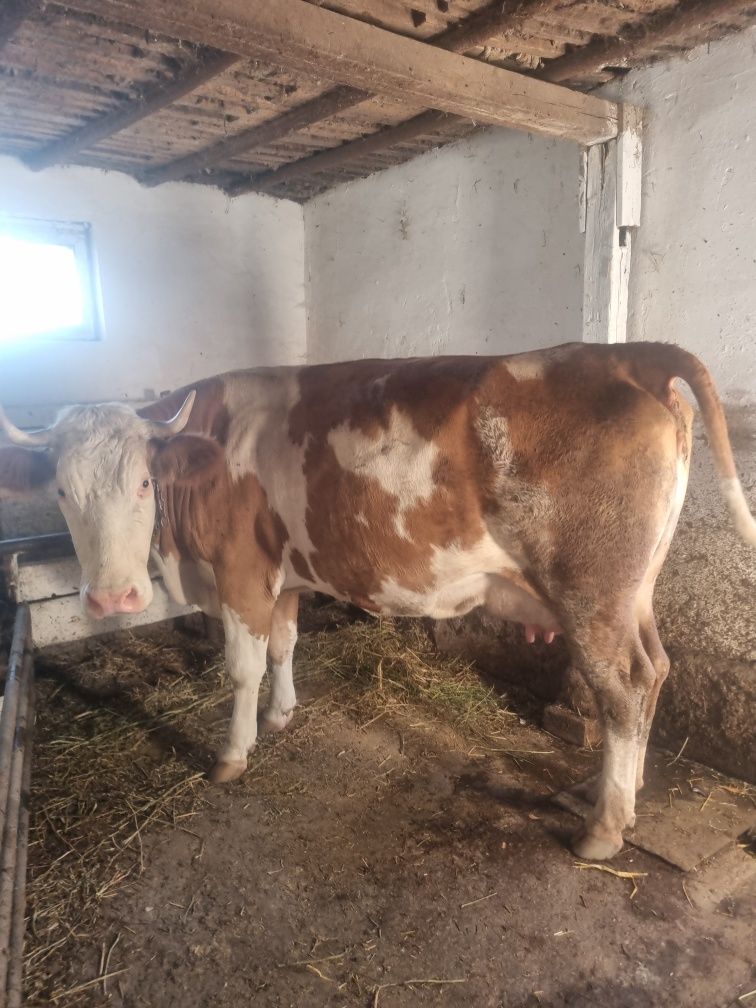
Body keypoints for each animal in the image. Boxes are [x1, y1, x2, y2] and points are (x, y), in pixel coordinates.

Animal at [0, 342, 753, 861]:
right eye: (61, 490)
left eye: (143, 483)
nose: (112, 598)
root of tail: (626, 353)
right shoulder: (286, 577)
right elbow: (285, 645)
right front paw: (282, 714)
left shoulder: (243, 571)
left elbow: (241, 668)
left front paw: (233, 753)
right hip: (634, 592)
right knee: (656, 671)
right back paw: (621, 797)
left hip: (592, 591)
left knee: (622, 687)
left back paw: (603, 827)